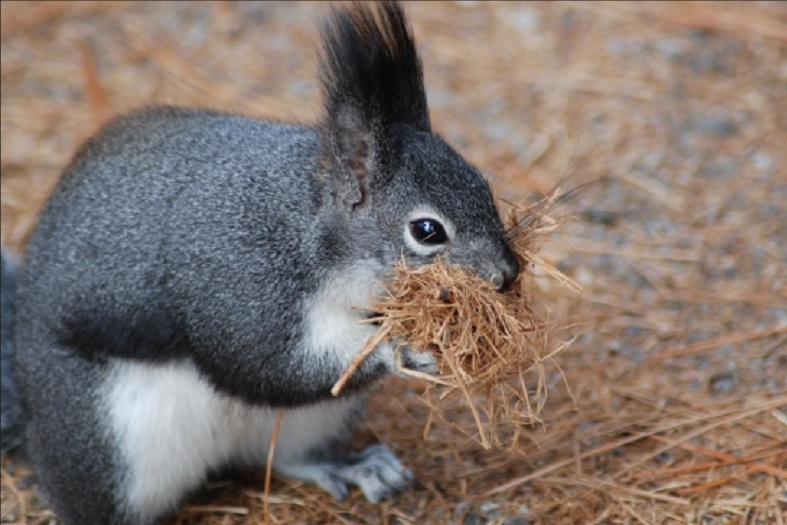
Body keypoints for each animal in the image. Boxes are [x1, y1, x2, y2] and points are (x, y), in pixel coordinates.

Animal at [1, 2, 524, 520]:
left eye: (482, 185)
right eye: (427, 231)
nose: (507, 274)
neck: (308, 230)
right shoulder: (238, 278)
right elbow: (265, 361)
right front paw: (406, 349)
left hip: (313, 421)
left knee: (288, 456)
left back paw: (352, 467)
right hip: (108, 444)